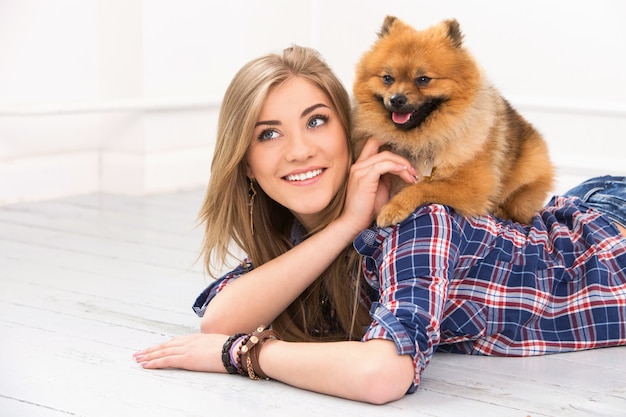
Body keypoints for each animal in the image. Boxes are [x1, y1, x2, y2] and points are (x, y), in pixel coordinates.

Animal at [352, 16, 552, 226]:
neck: (420, 140)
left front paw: (394, 207)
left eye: (423, 79)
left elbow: (426, 186)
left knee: (521, 214)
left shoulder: (473, 187)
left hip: (526, 188)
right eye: (388, 78)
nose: (396, 99)